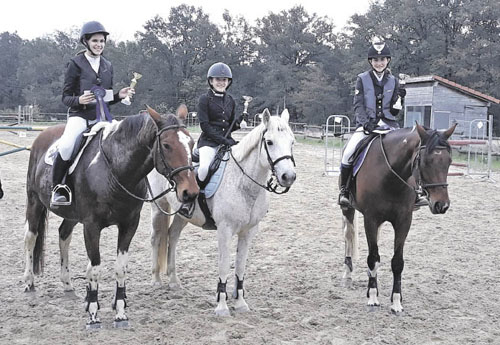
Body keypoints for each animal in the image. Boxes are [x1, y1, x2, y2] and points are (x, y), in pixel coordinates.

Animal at [23, 106, 199, 326]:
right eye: (166, 145)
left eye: (191, 144)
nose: (190, 192)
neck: (115, 170)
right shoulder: (91, 226)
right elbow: (96, 267)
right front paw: (93, 314)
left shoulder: (129, 224)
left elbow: (120, 267)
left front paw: (120, 311)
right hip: (34, 201)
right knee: (31, 238)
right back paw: (29, 283)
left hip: (72, 216)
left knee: (63, 235)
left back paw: (67, 284)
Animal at [342, 122, 456, 314]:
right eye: (425, 161)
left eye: (449, 161)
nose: (442, 205)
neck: (390, 175)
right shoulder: (370, 219)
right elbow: (373, 257)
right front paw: (373, 297)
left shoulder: (404, 221)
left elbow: (397, 262)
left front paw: (396, 301)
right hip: (348, 209)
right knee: (349, 237)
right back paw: (348, 274)